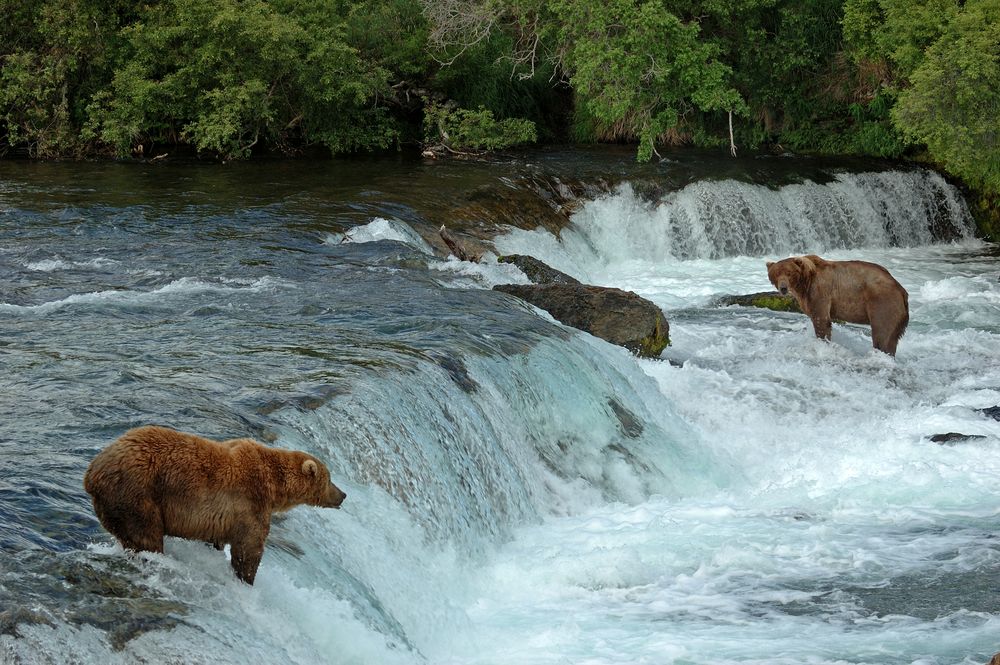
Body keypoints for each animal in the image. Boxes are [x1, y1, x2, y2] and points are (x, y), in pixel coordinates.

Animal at [83, 422, 348, 584]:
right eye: (329, 479)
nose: (343, 495)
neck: (275, 486)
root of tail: (92, 473)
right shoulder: (250, 502)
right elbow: (249, 549)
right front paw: (245, 579)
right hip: (136, 494)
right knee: (145, 536)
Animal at [760, 254, 912, 356]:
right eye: (776, 273)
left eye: (789, 273)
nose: (783, 288)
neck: (804, 283)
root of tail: (902, 291)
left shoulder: (820, 292)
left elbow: (821, 320)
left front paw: (822, 344)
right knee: (892, 339)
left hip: (883, 304)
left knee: (882, 334)